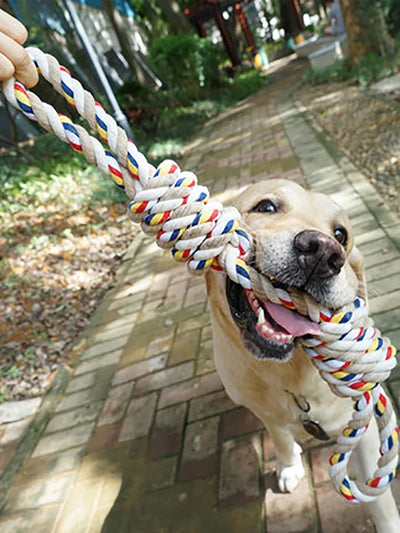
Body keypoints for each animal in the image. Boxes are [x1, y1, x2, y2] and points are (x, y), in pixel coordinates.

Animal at [206, 180, 400, 532]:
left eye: (340, 235)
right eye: (266, 206)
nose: (323, 251)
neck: (289, 374)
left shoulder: (362, 433)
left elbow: (381, 502)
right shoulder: (263, 411)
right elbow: (280, 438)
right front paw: (288, 466)